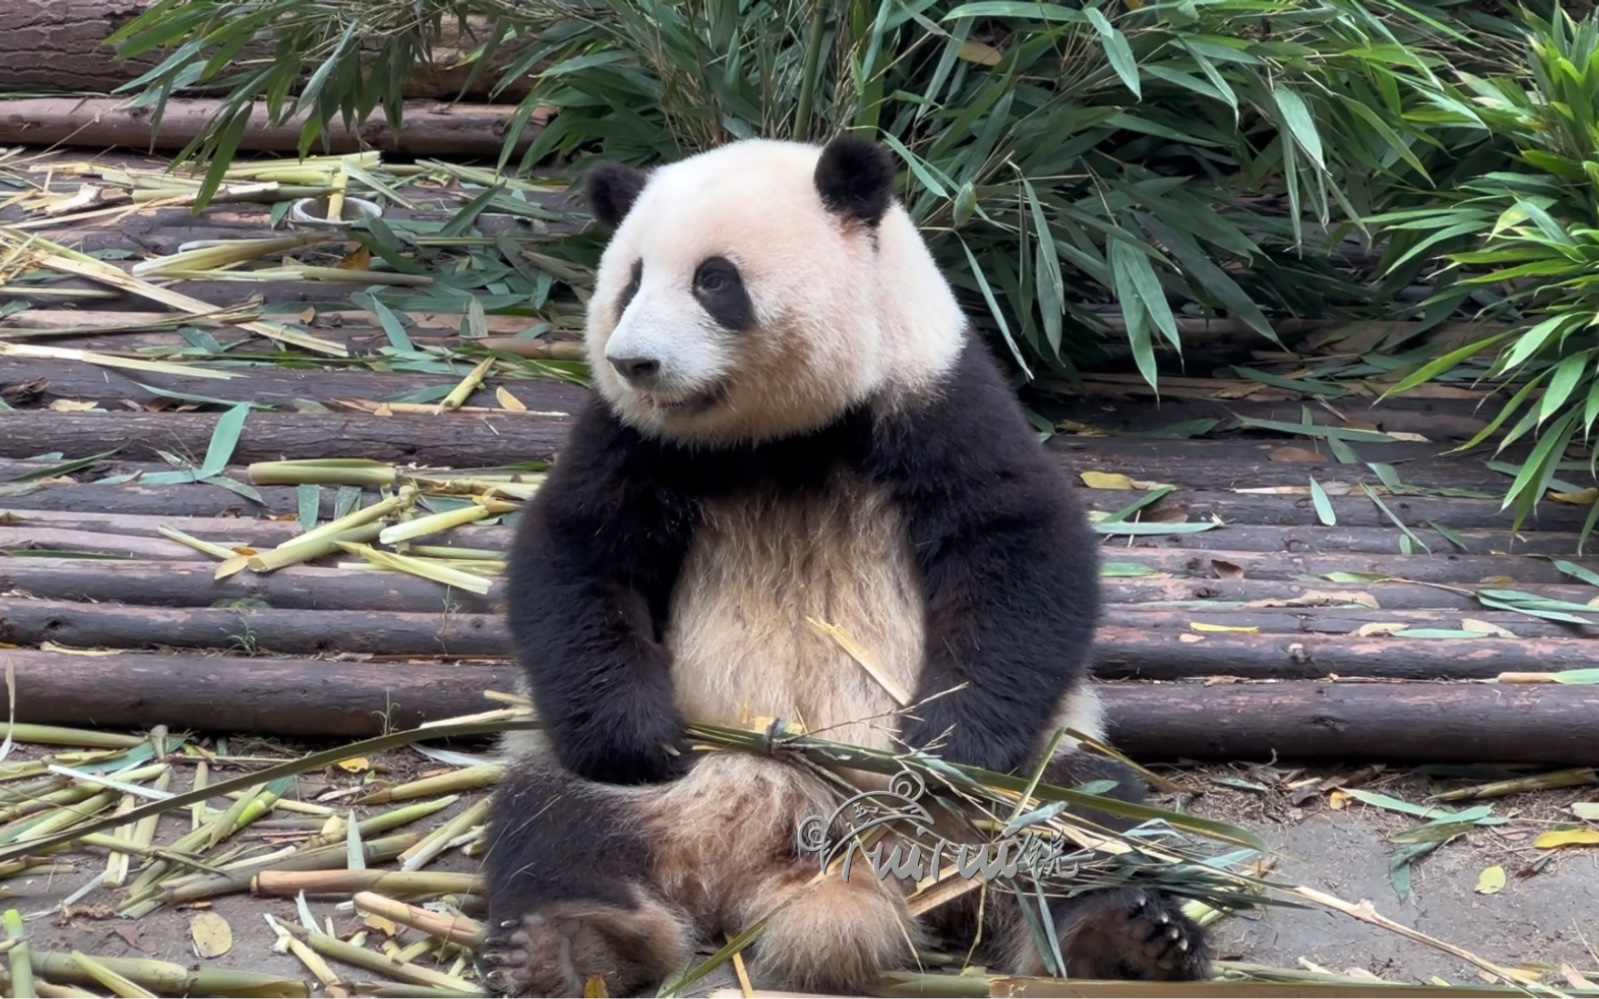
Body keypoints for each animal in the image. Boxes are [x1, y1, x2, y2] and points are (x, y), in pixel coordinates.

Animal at [479, 134, 1202, 997]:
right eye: (628, 282)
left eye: (713, 280)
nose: (633, 362)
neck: (779, 438)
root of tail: (796, 839)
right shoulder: (632, 438)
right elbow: (574, 558)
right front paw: (639, 736)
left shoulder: (936, 398)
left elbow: (1019, 547)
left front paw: (943, 744)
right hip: (636, 781)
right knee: (552, 822)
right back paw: (563, 943)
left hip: (1035, 769)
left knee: (1088, 817)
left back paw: (1122, 935)